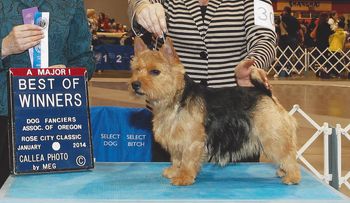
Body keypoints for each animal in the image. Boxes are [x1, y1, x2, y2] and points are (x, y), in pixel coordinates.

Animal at [130, 37, 300, 186]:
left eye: (155, 72)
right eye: (137, 69)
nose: (135, 84)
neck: (175, 97)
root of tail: (265, 92)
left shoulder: (191, 141)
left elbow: (187, 160)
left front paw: (184, 177)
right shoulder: (176, 138)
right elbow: (177, 157)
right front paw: (174, 171)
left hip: (272, 136)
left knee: (288, 155)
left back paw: (292, 176)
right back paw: (283, 171)